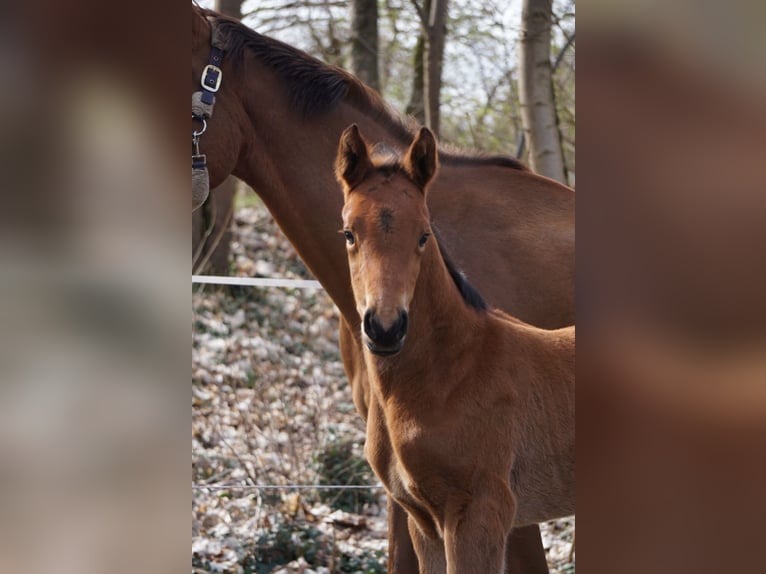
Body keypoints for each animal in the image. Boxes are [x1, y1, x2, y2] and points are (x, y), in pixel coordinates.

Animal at [335, 124, 575, 573]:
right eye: (348, 234)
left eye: (424, 234)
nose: (385, 328)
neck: (452, 372)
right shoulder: (423, 522)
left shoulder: (478, 512)